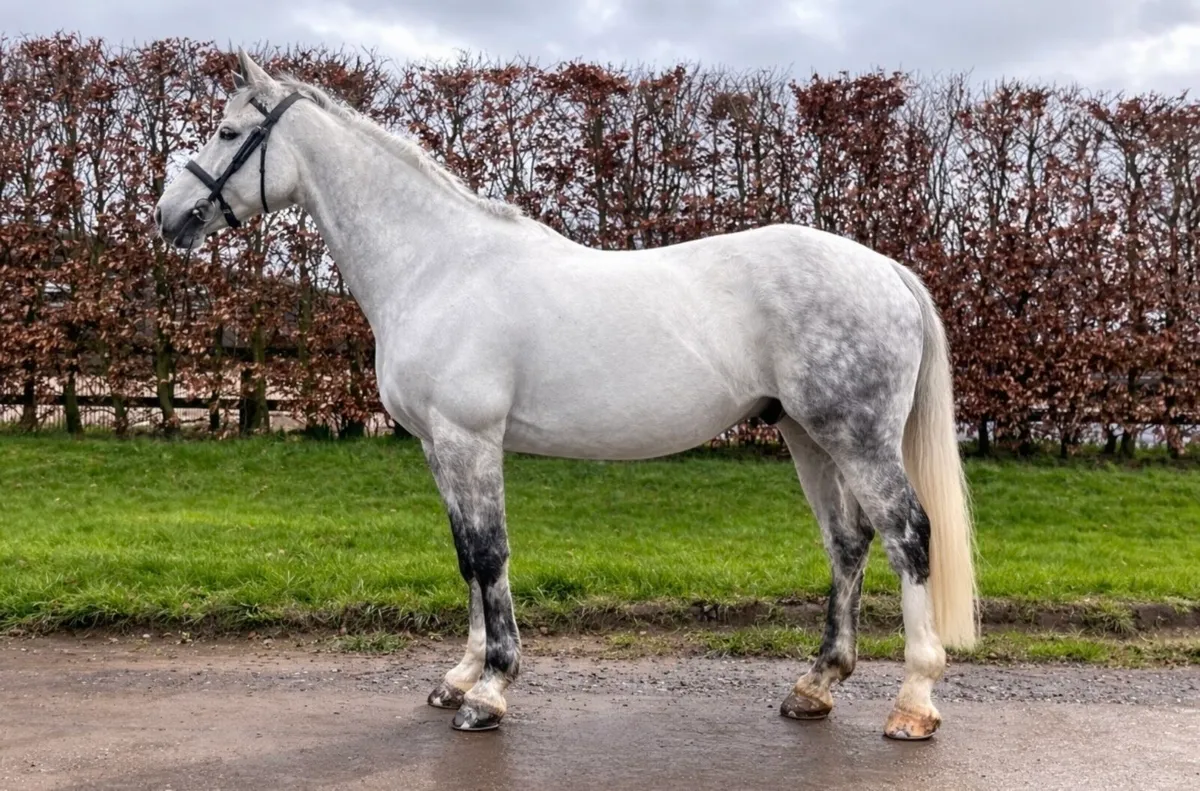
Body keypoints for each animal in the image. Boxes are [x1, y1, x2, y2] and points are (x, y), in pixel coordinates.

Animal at [155, 48, 978, 740]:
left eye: (228, 131)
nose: (168, 217)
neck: (438, 264)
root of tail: (885, 269)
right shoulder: (438, 445)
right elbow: (466, 556)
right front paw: (460, 677)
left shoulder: (469, 437)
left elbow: (489, 554)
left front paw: (490, 691)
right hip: (806, 433)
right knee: (848, 542)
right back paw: (815, 685)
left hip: (857, 435)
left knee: (907, 535)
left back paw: (913, 702)